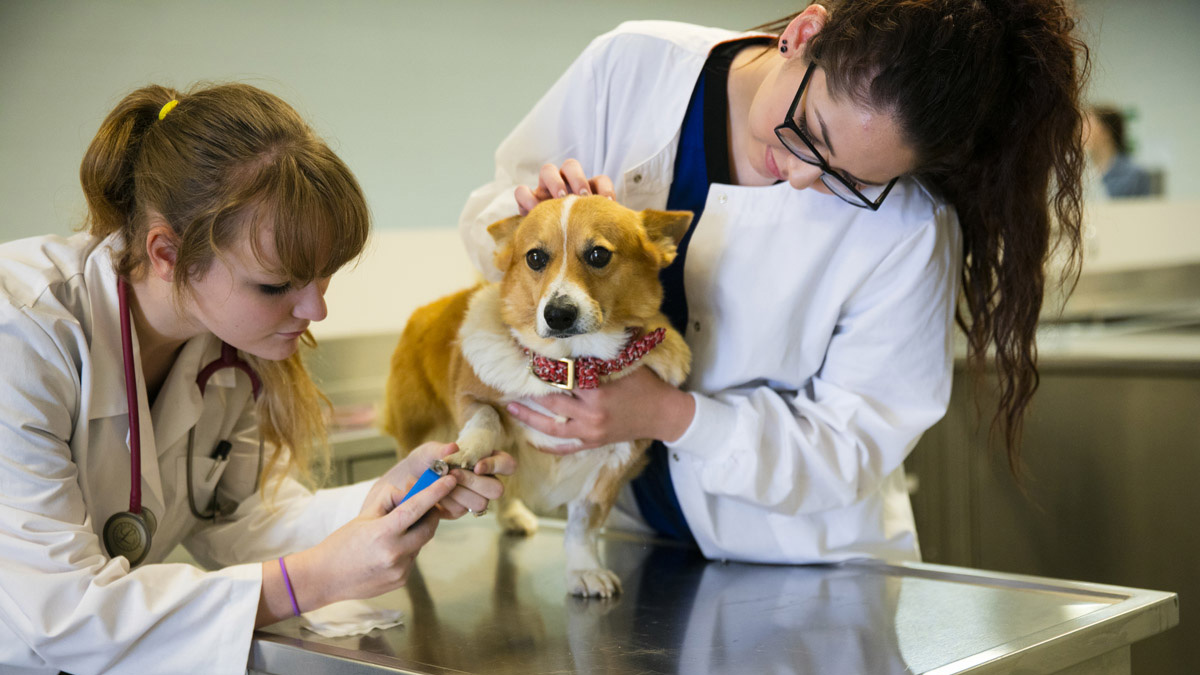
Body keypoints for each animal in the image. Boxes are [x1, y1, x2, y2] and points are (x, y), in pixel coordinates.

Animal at [379, 194, 691, 593]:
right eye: (535, 258)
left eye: (598, 255)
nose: (558, 314)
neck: (568, 365)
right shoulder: (470, 398)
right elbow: (488, 417)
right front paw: (468, 450)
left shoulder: (615, 462)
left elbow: (582, 526)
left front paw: (584, 570)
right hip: (412, 429)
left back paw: (512, 516)